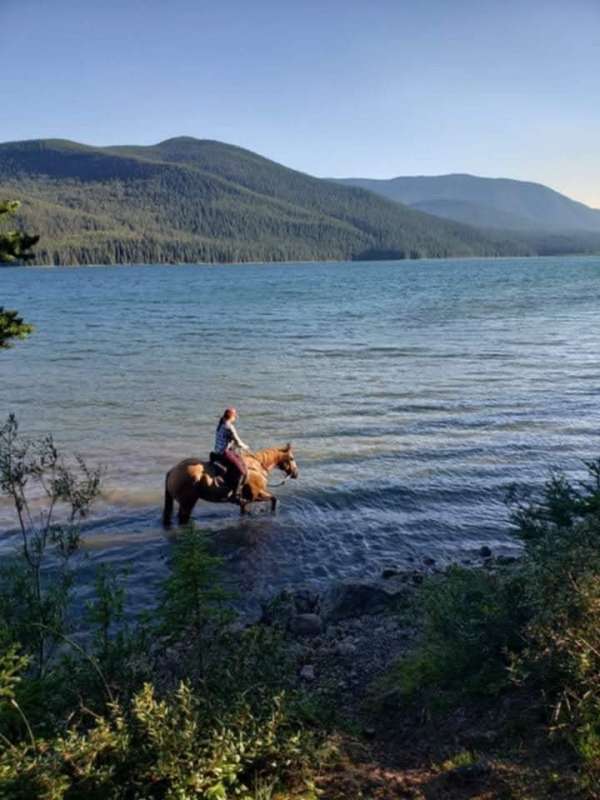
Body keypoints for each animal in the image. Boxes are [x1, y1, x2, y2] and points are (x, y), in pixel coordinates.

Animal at [162, 444, 298, 524]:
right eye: (291, 458)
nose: (296, 474)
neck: (256, 466)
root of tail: (172, 471)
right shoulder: (256, 495)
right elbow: (274, 499)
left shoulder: (246, 500)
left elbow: (244, 509)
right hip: (187, 503)